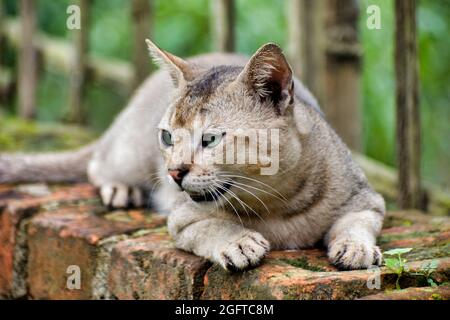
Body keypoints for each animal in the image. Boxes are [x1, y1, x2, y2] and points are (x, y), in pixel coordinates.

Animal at [0, 39, 386, 270]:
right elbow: (211, 226)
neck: (279, 204)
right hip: (127, 154)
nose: (173, 172)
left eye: (210, 139)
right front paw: (238, 242)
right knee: (98, 163)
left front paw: (355, 248)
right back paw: (121, 188)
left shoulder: (367, 200)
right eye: (168, 137)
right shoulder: (182, 218)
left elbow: (355, 222)